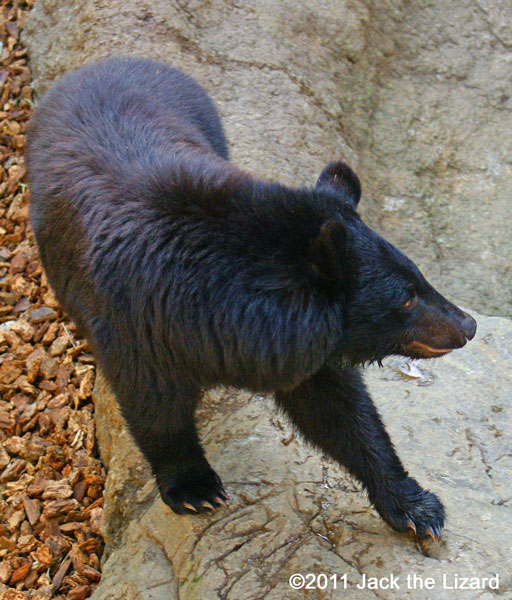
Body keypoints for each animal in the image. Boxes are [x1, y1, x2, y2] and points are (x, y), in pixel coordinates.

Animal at [27, 57, 476, 540]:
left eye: (419, 277)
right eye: (407, 298)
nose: (467, 325)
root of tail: (112, 62)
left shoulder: (301, 343)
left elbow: (340, 413)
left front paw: (415, 506)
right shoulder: (134, 322)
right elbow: (153, 403)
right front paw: (194, 487)